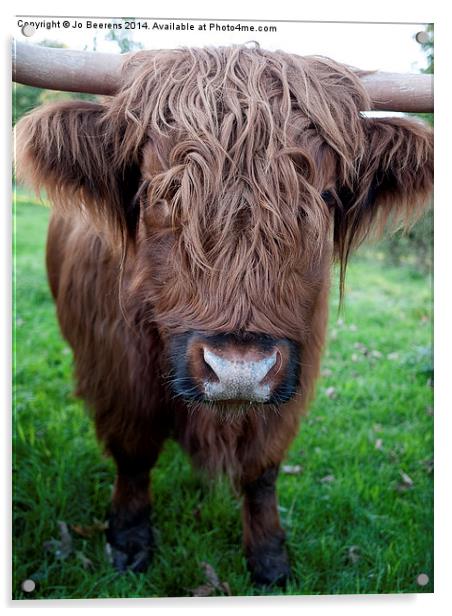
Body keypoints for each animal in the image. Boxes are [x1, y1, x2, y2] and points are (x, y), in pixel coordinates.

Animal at [15, 45, 434, 584]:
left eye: (325, 196)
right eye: (159, 191)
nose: (238, 371)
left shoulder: (294, 373)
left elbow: (262, 469)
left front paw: (271, 559)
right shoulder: (115, 372)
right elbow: (133, 455)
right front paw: (128, 542)